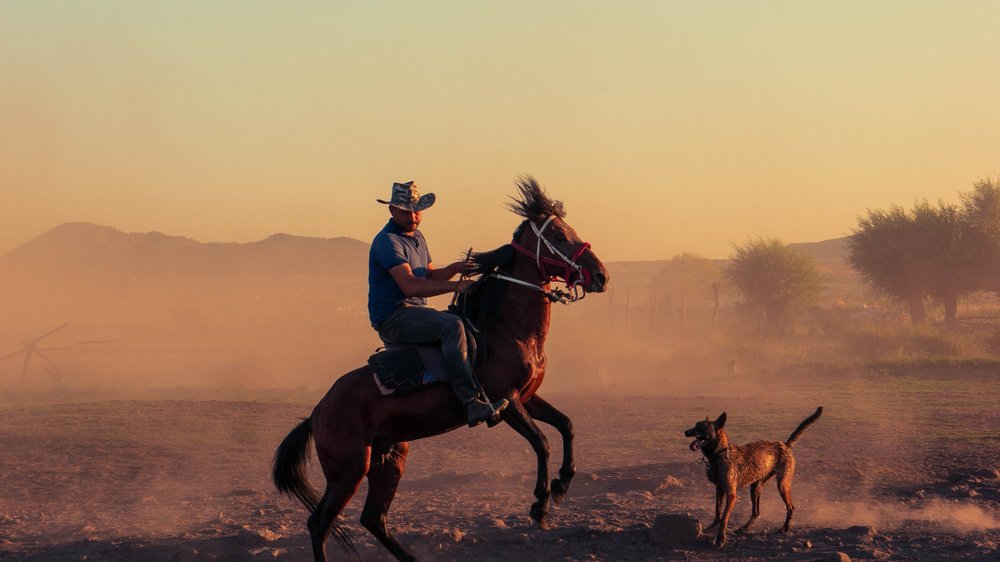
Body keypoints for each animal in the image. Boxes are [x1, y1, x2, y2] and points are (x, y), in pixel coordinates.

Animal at [278, 176, 612, 560]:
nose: (600, 275)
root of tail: (316, 413)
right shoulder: (507, 401)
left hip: (390, 457)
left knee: (373, 518)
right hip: (349, 469)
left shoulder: (529, 397)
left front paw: (562, 483)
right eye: (558, 235)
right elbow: (541, 442)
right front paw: (540, 505)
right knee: (320, 522)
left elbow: (566, 425)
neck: (506, 330)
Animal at [684, 406, 824, 544]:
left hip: (782, 485)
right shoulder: (719, 489)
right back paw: (744, 528)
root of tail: (785, 444)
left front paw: (720, 539)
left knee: (791, 507)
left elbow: (724, 518)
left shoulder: (731, 494)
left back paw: (785, 528)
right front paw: (711, 528)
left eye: (703, 427)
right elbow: (717, 511)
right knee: (756, 512)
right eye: (696, 424)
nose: (686, 432)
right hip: (755, 488)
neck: (720, 455)